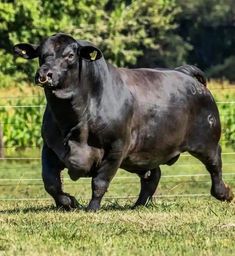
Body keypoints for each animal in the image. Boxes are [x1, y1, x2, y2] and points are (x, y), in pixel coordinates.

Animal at [14, 33, 233, 211]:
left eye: (70, 55)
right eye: (42, 55)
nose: (45, 74)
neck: (76, 119)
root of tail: (184, 72)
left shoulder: (116, 147)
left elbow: (100, 182)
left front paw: (92, 208)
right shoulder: (51, 147)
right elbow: (50, 181)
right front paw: (69, 202)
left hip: (207, 140)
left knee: (215, 164)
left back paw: (224, 193)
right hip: (143, 151)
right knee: (152, 176)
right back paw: (139, 205)